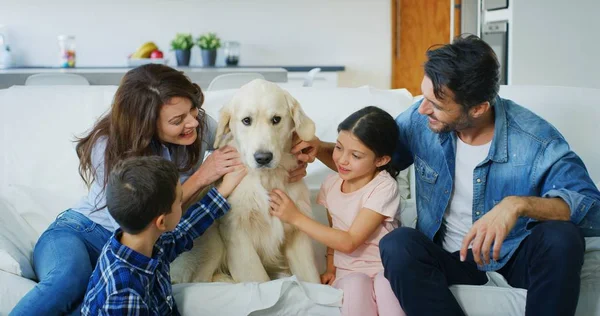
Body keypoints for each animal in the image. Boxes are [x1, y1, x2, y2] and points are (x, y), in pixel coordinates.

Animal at [171, 78, 322, 284]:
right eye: (246, 121)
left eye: (276, 119)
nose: (263, 158)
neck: (266, 179)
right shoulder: (237, 235)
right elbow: (258, 278)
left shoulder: (297, 232)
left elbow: (311, 278)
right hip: (211, 239)